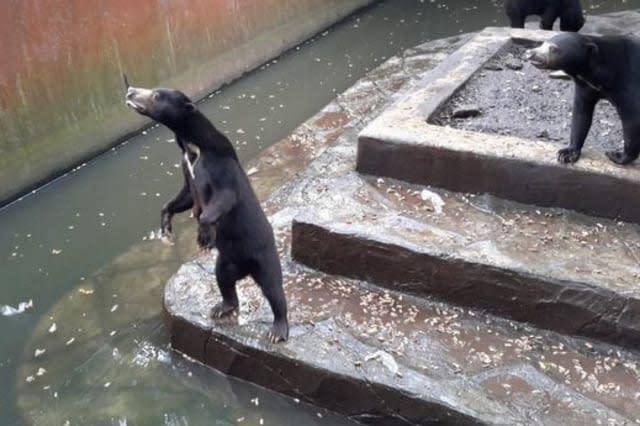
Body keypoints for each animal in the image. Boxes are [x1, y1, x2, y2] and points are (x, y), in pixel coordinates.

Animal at [125, 75, 290, 342]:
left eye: (156, 95)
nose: (129, 92)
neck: (192, 147)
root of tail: (245, 269)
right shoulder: (186, 168)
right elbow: (183, 199)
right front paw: (166, 231)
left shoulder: (220, 168)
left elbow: (223, 199)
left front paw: (203, 237)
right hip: (226, 261)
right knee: (224, 280)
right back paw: (222, 307)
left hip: (264, 256)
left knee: (273, 289)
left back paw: (277, 330)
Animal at [524, 33, 640, 166]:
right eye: (543, 43)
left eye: (553, 48)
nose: (529, 53)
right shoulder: (585, 87)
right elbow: (581, 114)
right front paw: (567, 153)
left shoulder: (628, 82)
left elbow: (633, 119)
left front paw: (617, 155)